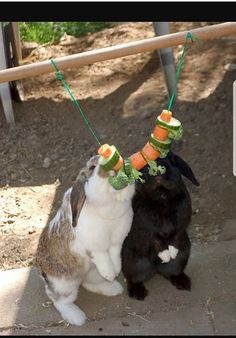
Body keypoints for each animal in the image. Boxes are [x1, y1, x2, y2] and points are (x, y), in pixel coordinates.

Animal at [34, 155, 135, 324]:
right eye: (92, 168)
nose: (115, 167)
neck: (111, 203)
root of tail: (42, 272)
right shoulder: (94, 248)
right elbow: (103, 258)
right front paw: (110, 273)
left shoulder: (117, 242)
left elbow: (115, 256)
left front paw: (115, 271)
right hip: (65, 285)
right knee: (59, 300)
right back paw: (77, 317)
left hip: (92, 274)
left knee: (89, 284)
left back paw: (112, 288)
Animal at [121, 152, 200, 300]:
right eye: (143, 165)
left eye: (171, 159)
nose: (157, 170)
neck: (162, 196)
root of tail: (156, 269)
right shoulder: (146, 225)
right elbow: (156, 237)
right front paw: (165, 255)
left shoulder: (182, 217)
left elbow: (176, 233)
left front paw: (172, 252)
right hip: (133, 263)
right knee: (133, 279)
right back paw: (138, 293)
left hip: (183, 255)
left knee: (173, 272)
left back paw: (183, 282)